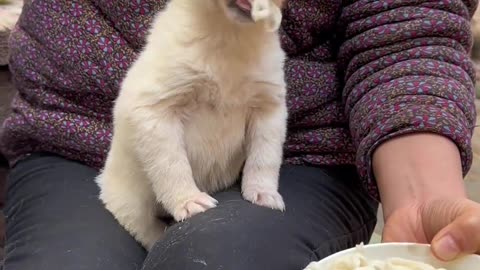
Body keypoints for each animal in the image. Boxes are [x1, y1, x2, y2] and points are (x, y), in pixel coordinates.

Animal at [95, 0, 286, 250]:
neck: (229, 32)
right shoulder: (154, 109)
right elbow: (172, 164)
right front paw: (188, 201)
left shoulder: (270, 108)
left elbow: (265, 159)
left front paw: (263, 192)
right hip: (131, 205)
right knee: (146, 229)